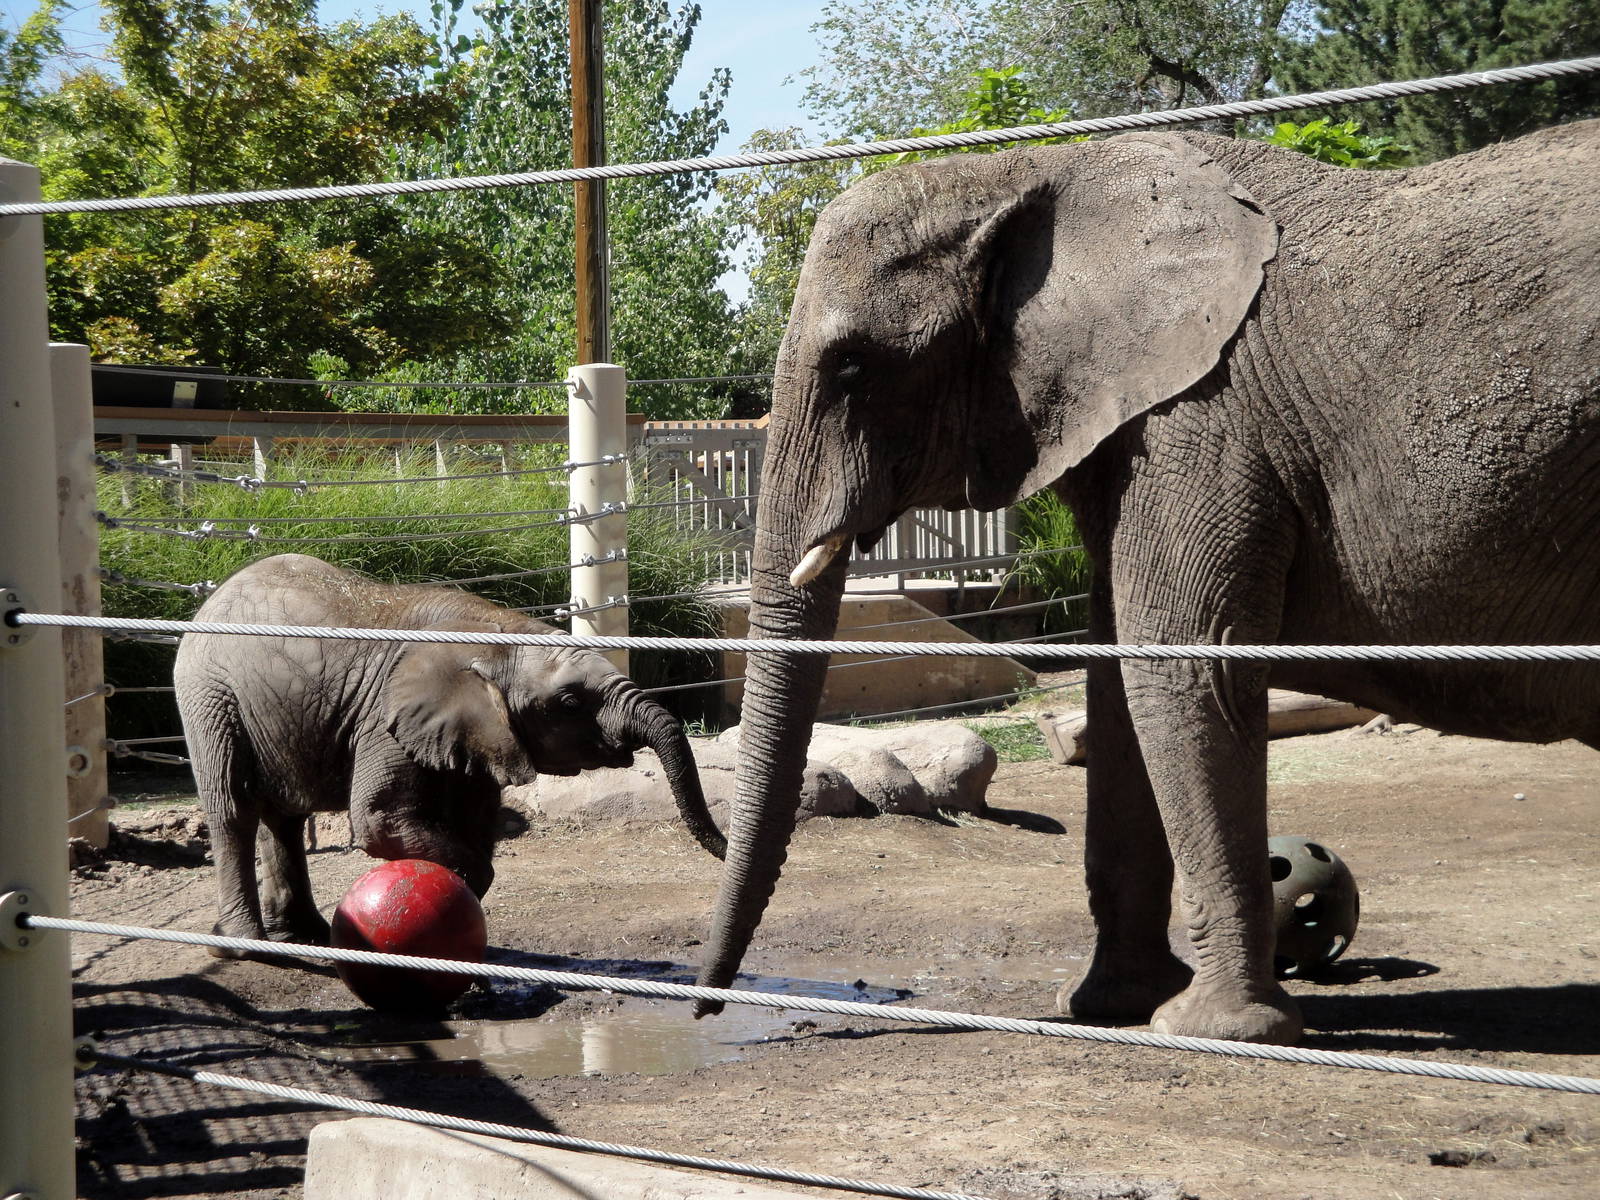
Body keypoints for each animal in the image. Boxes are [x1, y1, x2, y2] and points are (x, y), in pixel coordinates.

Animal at [174, 553, 725, 953]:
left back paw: (303, 936)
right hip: (209, 694)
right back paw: (244, 945)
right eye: (570, 703)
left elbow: (475, 822)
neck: (495, 638)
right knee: (233, 810)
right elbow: (379, 819)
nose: (722, 852)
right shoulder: (385, 720)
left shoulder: (479, 734)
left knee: (284, 815)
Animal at [693, 119, 1600, 1044]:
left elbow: (1179, 668)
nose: (703, 1005)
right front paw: (1106, 1008)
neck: (1027, 170)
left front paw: (1216, 1031)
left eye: (852, 367)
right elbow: (1116, 683)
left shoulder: (1205, 417)